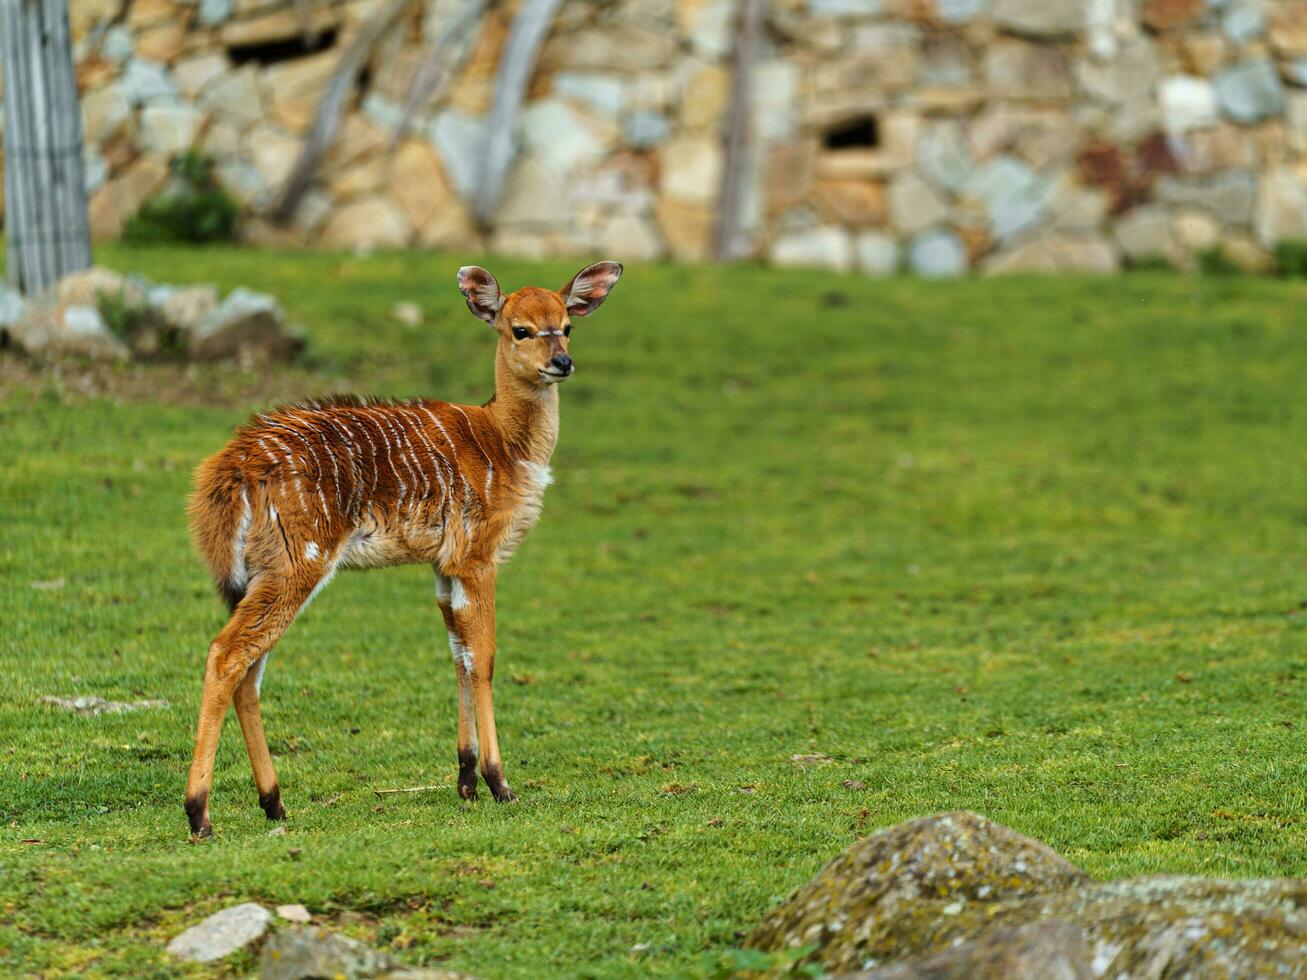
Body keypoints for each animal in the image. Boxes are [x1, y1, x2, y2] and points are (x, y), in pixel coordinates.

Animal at [185, 265, 627, 841]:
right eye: (520, 330)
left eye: (568, 326)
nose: (562, 363)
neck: (505, 442)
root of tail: (229, 471)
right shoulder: (477, 558)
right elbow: (485, 657)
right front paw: (499, 783)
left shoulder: (443, 567)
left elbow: (459, 654)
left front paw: (465, 780)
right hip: (298, 562)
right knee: (228, 653)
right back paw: (199, 814)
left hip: (259, 574)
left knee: (250, 670)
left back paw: (275, 803)